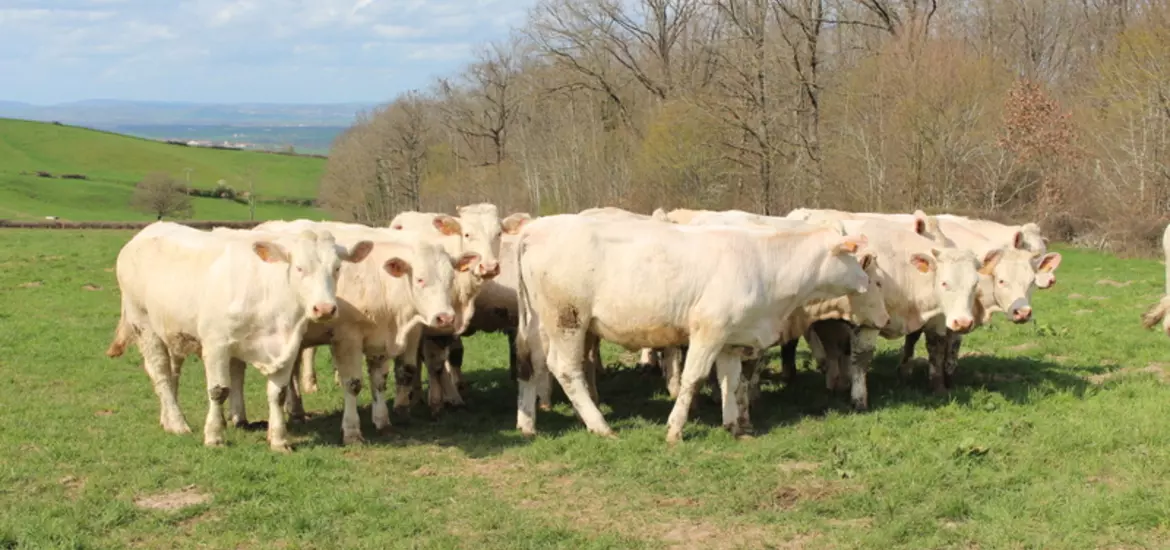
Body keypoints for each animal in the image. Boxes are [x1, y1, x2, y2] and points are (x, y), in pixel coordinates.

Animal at [105, 221, 372, 449]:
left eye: (337, 268)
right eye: (299, 268)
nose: (325, 309)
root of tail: (147, 231)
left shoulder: (288, 345)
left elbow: (277, 393)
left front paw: (279, 440)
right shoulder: (216, 344)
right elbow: (218, 390)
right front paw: (214, 436)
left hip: (171, 330)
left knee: (172, 374)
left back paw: (167, 419)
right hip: (144, 324)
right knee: (159, 371)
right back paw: (178, 423)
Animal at [517, 215, 875, 442]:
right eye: (854, 256)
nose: (866, 281)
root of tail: (535, 227)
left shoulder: (732, 337)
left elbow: (731, 381)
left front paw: (734, 426)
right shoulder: (708, 329)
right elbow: (693, 378)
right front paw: (675, 429)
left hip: (540, 325)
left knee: (533, 366)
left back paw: (532, 423)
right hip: (568, 319)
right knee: (566, 369)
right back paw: (600, 425)